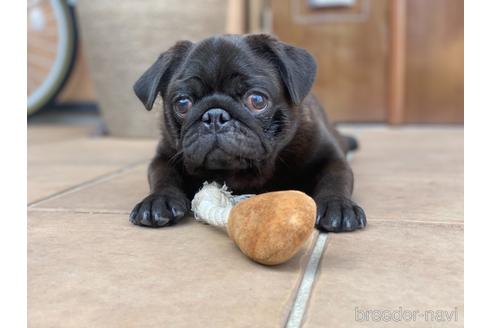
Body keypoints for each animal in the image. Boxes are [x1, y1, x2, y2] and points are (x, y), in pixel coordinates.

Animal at [131, 34, 366, 232]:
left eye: (257, 100)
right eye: (182, 104)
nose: (214, 115)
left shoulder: (330, 157)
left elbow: (335, 178)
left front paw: (337, 205)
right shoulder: (164, 157)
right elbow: (163, 176)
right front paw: (158, 200)